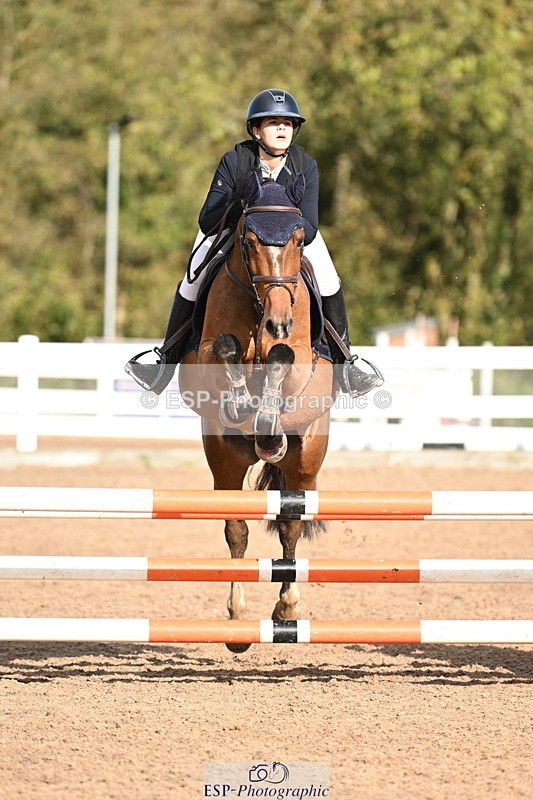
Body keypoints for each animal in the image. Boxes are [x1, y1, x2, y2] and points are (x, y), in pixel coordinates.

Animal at [179, 173, 335, 651]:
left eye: (300, 239)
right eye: (248, 241)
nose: (278, 322)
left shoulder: (302, 359)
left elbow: (283, 356)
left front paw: (266, 418)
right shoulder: (205, 354)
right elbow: (226, 347)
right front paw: (240, 401)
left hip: (306, 459)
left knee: (289, 525)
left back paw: (286, 609)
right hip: (225, 458)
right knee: (236, 529)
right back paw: (237, 621)